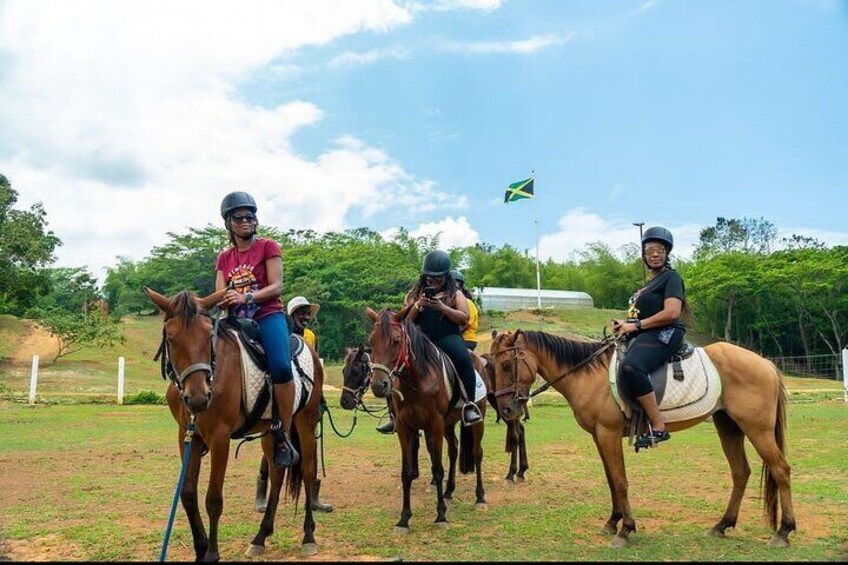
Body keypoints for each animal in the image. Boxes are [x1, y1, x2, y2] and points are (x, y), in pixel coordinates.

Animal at [146, 286, 324, 560]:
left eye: (208, 335)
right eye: (172, 338)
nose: (198, 397)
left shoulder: (220, 438)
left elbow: (213, 500)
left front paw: (211, 554)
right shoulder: (187, 435)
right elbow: (187, 493)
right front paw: (200, 548)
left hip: (306, 421)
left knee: (307, 472)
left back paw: (308, 536)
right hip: (272, 432)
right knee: (277, 472)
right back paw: (260, 537)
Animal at [366, 306, 490, 532]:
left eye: (396, 341)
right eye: (371, 341)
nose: (379, 385)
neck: (418, 380)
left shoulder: (435, 424)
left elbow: (437, 469)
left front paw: (441, 515)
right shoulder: (405, 427)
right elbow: (406, 472)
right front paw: (404, 519)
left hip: (478, 419)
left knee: (477, 453)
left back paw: (480, 498)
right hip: (449, 423)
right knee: (454, 449)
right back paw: (449, 491)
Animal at [490, 330, 796, 548]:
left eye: (506, 365)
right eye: (491, 366)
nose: (507, 410)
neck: (589, 374)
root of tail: (766, 363)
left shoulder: (609, 433)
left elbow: (620, 480)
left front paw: (625, 530)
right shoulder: (599, 436)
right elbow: (611, 479)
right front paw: (613, 522)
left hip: (757, 429)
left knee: (781, 470)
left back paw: (783, 531)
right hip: (729, 426)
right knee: (740, 472)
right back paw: (722, 525)